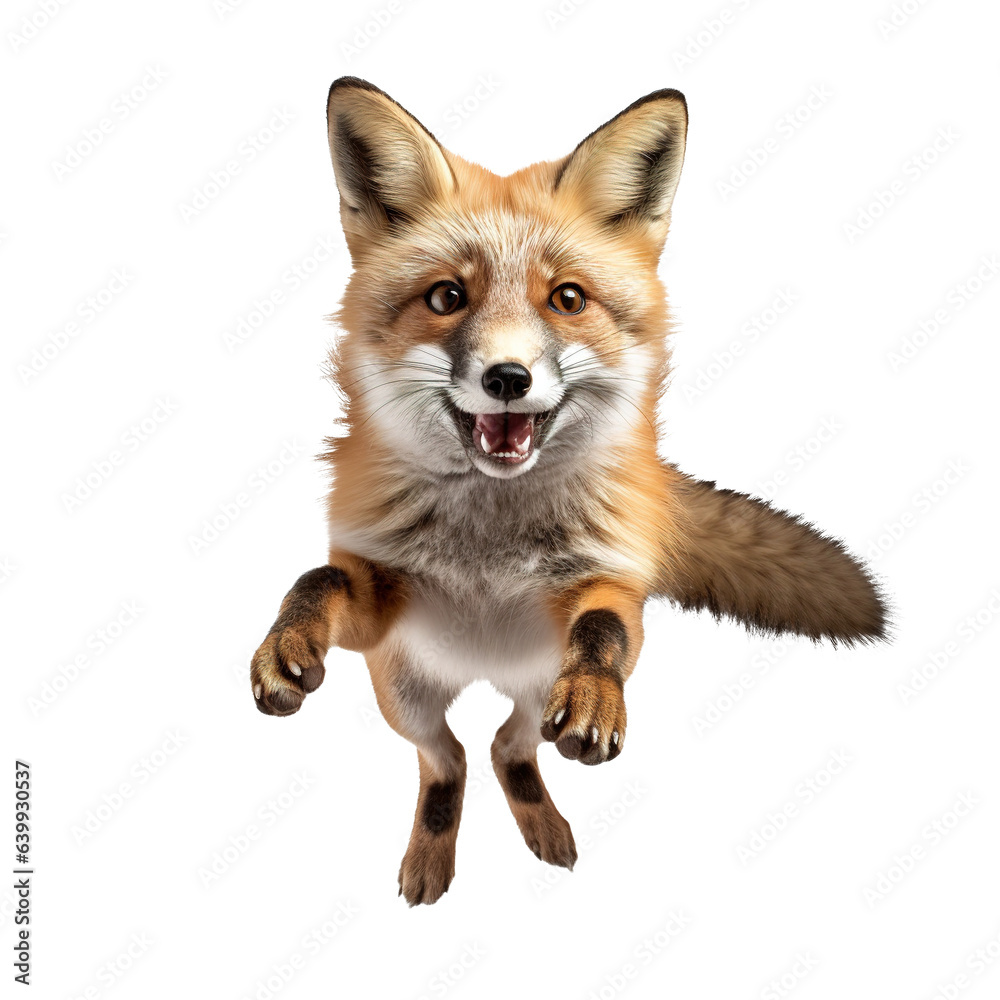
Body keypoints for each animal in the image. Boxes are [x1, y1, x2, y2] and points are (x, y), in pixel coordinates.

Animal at [250, 76, 888, 905]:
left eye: (567, 299)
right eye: (447, 297)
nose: (507, 378)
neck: (490, 547)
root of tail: (482, 671)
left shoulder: (609, 588)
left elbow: (604, 629)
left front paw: (595, 697)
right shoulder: (383, 610)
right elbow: (317, 580)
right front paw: (285, 639)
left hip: (526, 690)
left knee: (504, 746)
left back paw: (543, 827)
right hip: (406, 694)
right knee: (449, 757)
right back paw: (435, 853)